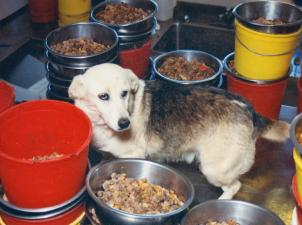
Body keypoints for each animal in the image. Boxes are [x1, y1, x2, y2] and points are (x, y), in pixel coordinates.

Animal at [68, 62, 288, 199]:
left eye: (124, 93)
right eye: (103, 96)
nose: (125, 123)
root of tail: (248, 109)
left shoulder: (133, 155)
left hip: (214, 169)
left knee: (235, 186)